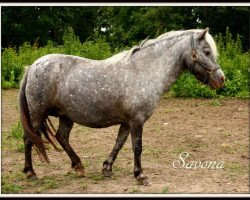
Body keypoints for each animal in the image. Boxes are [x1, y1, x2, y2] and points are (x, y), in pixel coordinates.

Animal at [19, 27, 225, 185]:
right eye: (207, 51)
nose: (221, 79)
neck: (144, 71)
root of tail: (33, 66)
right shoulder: (137, 121)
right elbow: (137, 147)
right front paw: (140, 175)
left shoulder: (127, 122)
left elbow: (119, 143)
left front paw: (107, 168)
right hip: (37, 115)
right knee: (29, 139)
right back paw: (31, 172)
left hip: (66, 116)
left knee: (61, 137)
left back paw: (79, 167)